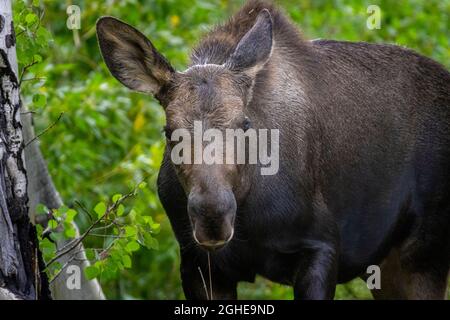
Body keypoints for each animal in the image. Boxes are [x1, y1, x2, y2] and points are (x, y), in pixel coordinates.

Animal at [96, 0, 450, 300]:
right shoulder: (198, 263)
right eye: (170, 133)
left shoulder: (322, 245)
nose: (212, 216)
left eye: (244, 124)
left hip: (422, 254)